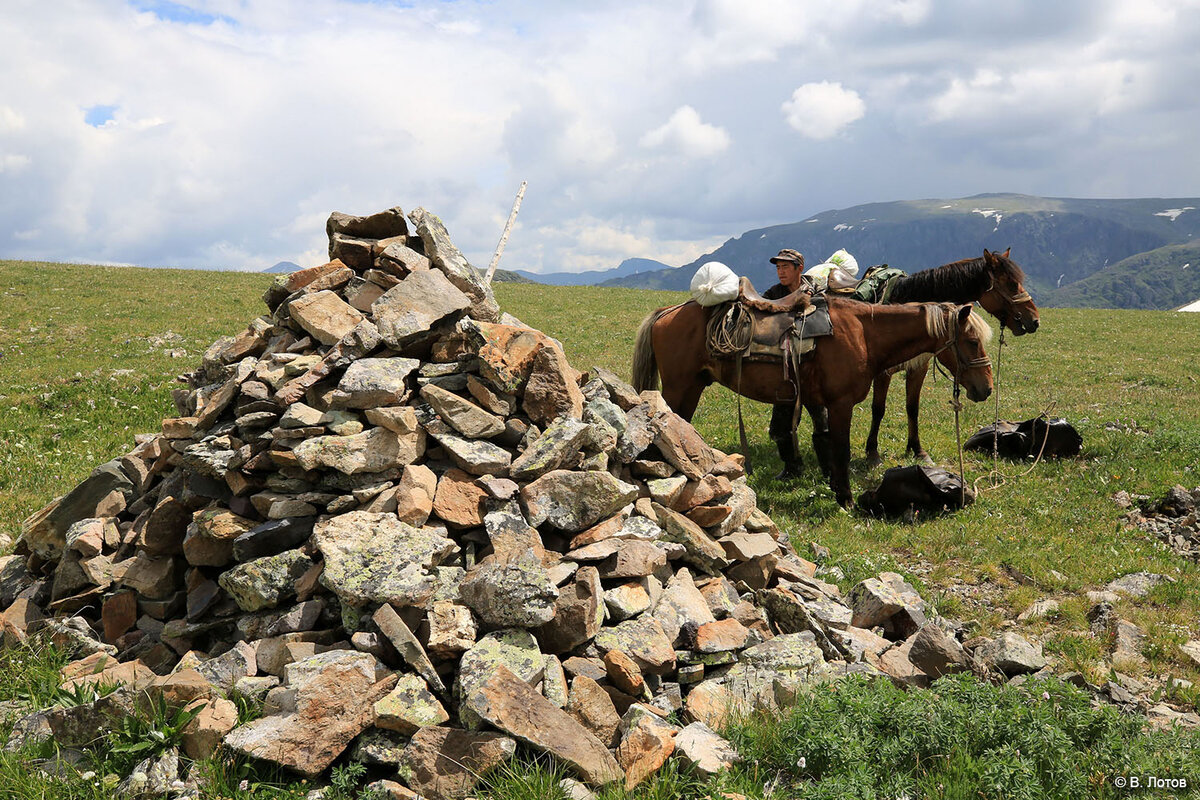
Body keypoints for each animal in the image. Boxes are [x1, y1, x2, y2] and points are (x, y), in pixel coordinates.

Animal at [628, 293, 993, 506]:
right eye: (972, 341)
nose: (986, 388)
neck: (864, 333)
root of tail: (667, 312)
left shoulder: (821, 402)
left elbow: (826, 442)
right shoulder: (841, 404)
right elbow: (841, 450)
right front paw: (845, 499)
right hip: (680, 388)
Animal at [864, 247, 1041, 465]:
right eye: (1011, 284)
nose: (1035, 319)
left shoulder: (918, 368)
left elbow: (912, 408)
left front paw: (918, 450)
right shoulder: (883, 373)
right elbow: (878, 409)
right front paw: (872, 452)